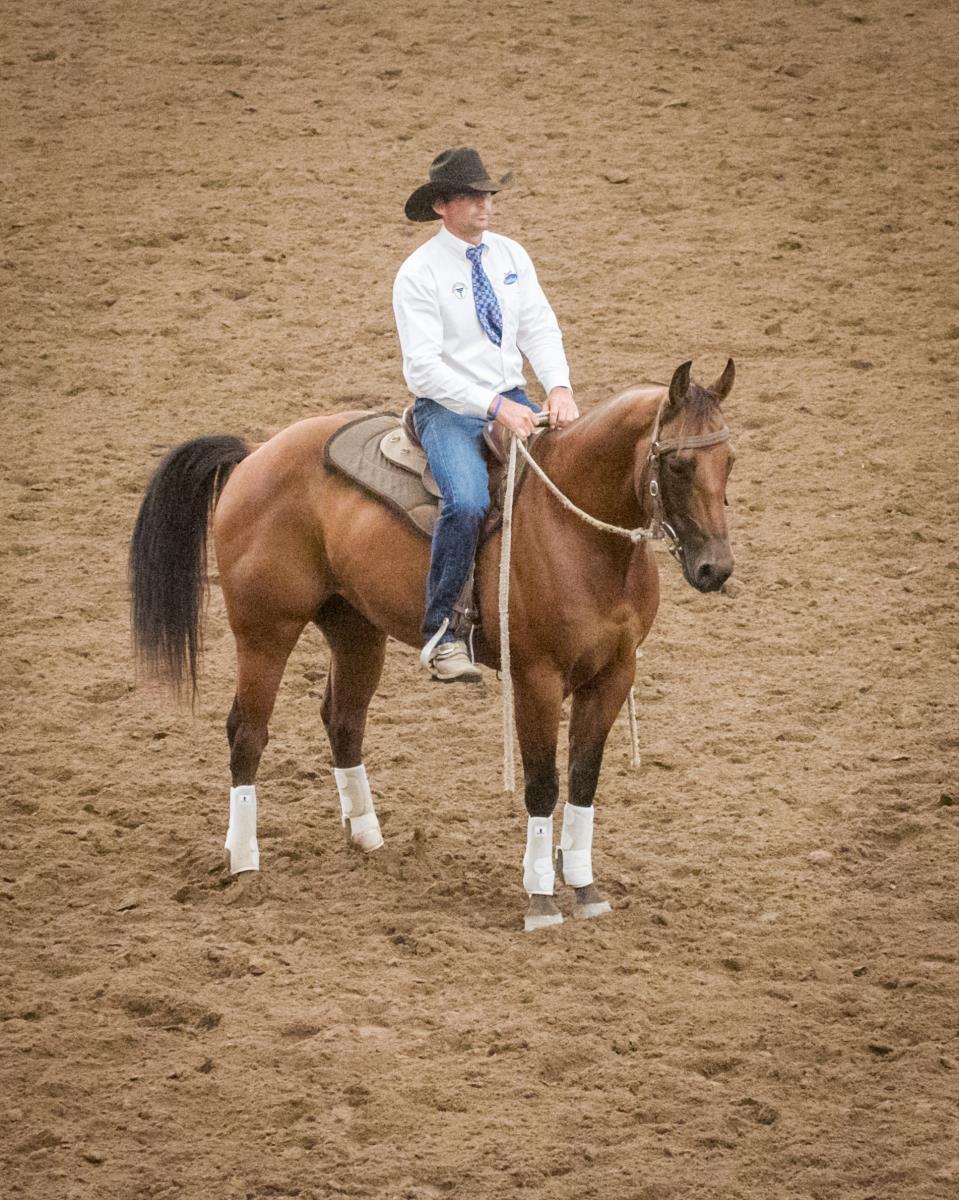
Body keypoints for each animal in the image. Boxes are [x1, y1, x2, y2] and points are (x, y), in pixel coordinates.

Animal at [129, 359, 736, 931]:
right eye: (678, 465)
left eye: (729, 461)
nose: (716, 569)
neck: (577, 534)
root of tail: (255, 454)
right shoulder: (535, 678)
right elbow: (542, 784)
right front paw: (540, 898)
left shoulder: (614, 674)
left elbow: (584, 780)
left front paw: (585, 888)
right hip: (265, 631)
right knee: (247, 734)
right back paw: (244, 862)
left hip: (355, 629)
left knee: (343, 720)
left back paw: (367, 838)